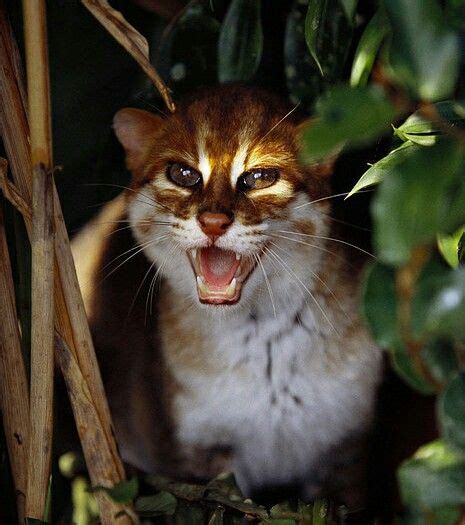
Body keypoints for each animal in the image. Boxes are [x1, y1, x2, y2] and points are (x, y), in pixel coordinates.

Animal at [72, 86, 382, 508]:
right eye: (183, 174)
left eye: (261, 176)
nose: (213, 222)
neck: (263, 340)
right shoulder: (202, 455)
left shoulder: (344, 451)